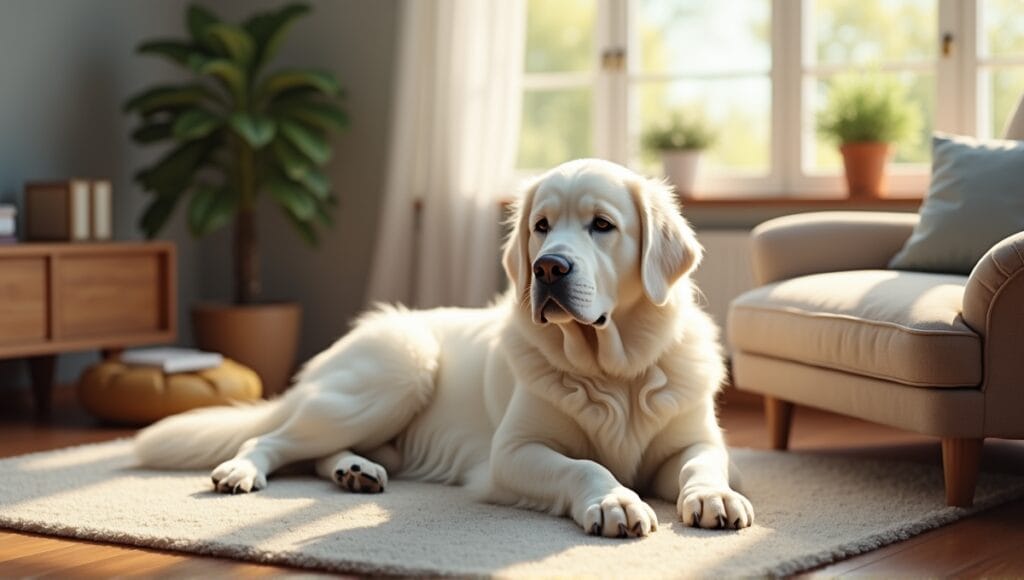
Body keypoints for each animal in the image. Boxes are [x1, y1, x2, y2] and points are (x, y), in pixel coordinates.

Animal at [136, 159, 753, 541]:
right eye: (541, 225)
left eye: (602, 225)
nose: (547, 267)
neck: (614, 371)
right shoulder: (513, 454)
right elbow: (584, 466)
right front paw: (615, 500)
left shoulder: (695, 439)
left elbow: (705, 462)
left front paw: (714, 497)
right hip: (399, 369)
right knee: (272, 437)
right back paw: (241, 469)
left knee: (319, 453)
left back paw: (355, 471)